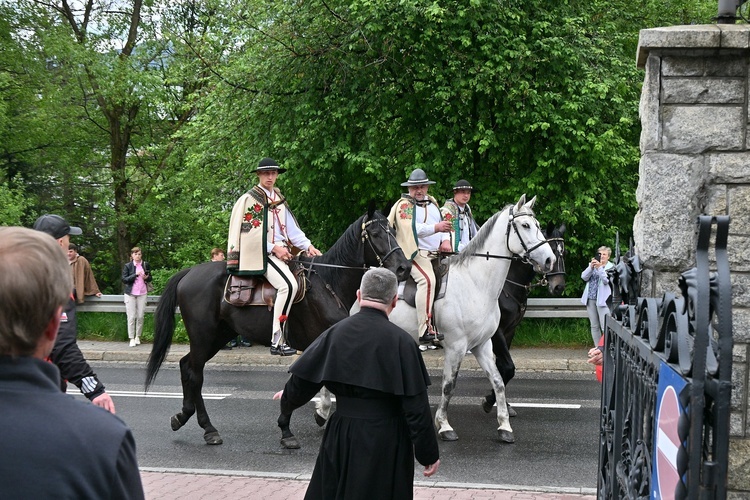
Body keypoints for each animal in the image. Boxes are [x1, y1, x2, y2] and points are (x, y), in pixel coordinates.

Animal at [146, 209, 412, 444]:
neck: (329, 283)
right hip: (203, 336)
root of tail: (190, 272)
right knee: (195, 374)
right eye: (375, 234)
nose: (404, 268)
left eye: (393, 231)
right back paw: (208, 428)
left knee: (186, 366)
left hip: (218, 336)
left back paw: (184, 416)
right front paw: (292, 426)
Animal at [484, 223, 568, 414]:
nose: (559, 287)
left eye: (564, 252)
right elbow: (508, 367)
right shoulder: (497, 332)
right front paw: (489, 400)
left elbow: (502, 367)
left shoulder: (510, 330)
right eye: (552, 250)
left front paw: (503, 403)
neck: (507, 284)